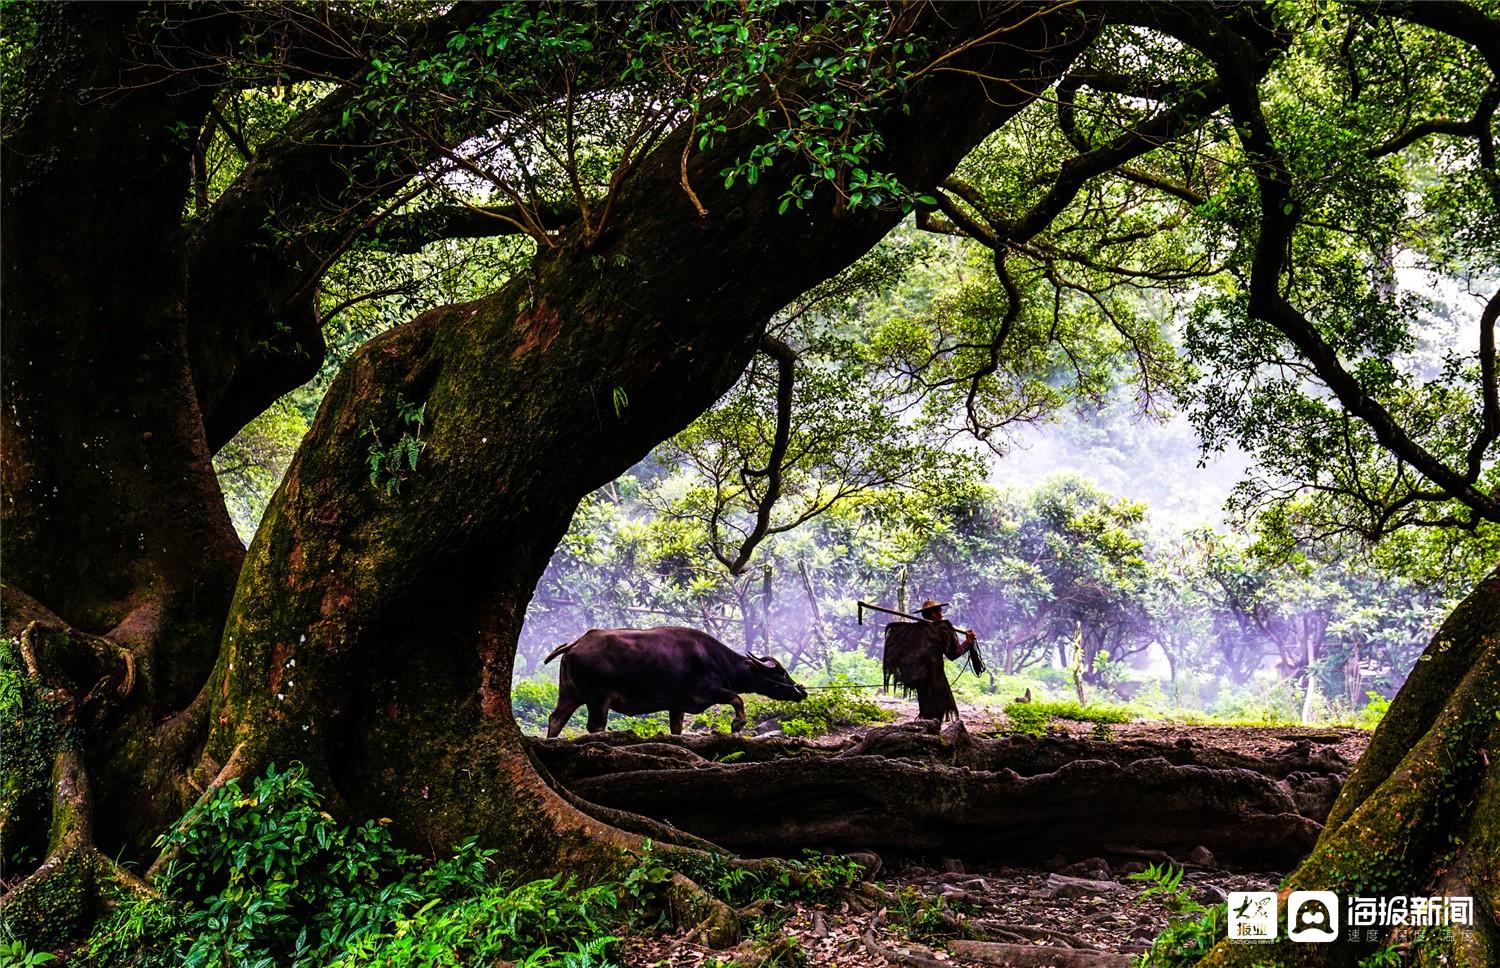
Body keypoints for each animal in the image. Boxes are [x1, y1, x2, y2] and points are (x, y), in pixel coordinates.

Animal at [546, 624, 810, 735]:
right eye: (780, 673)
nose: (801, 690)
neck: (714, 658)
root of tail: (576, 643)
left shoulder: (677, 706)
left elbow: (676, 729)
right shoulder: (712, 690)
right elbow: (737, 699)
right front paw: (737, 724)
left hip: (570, 694)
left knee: (556, 719)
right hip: (598, 699)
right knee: (596, 725)